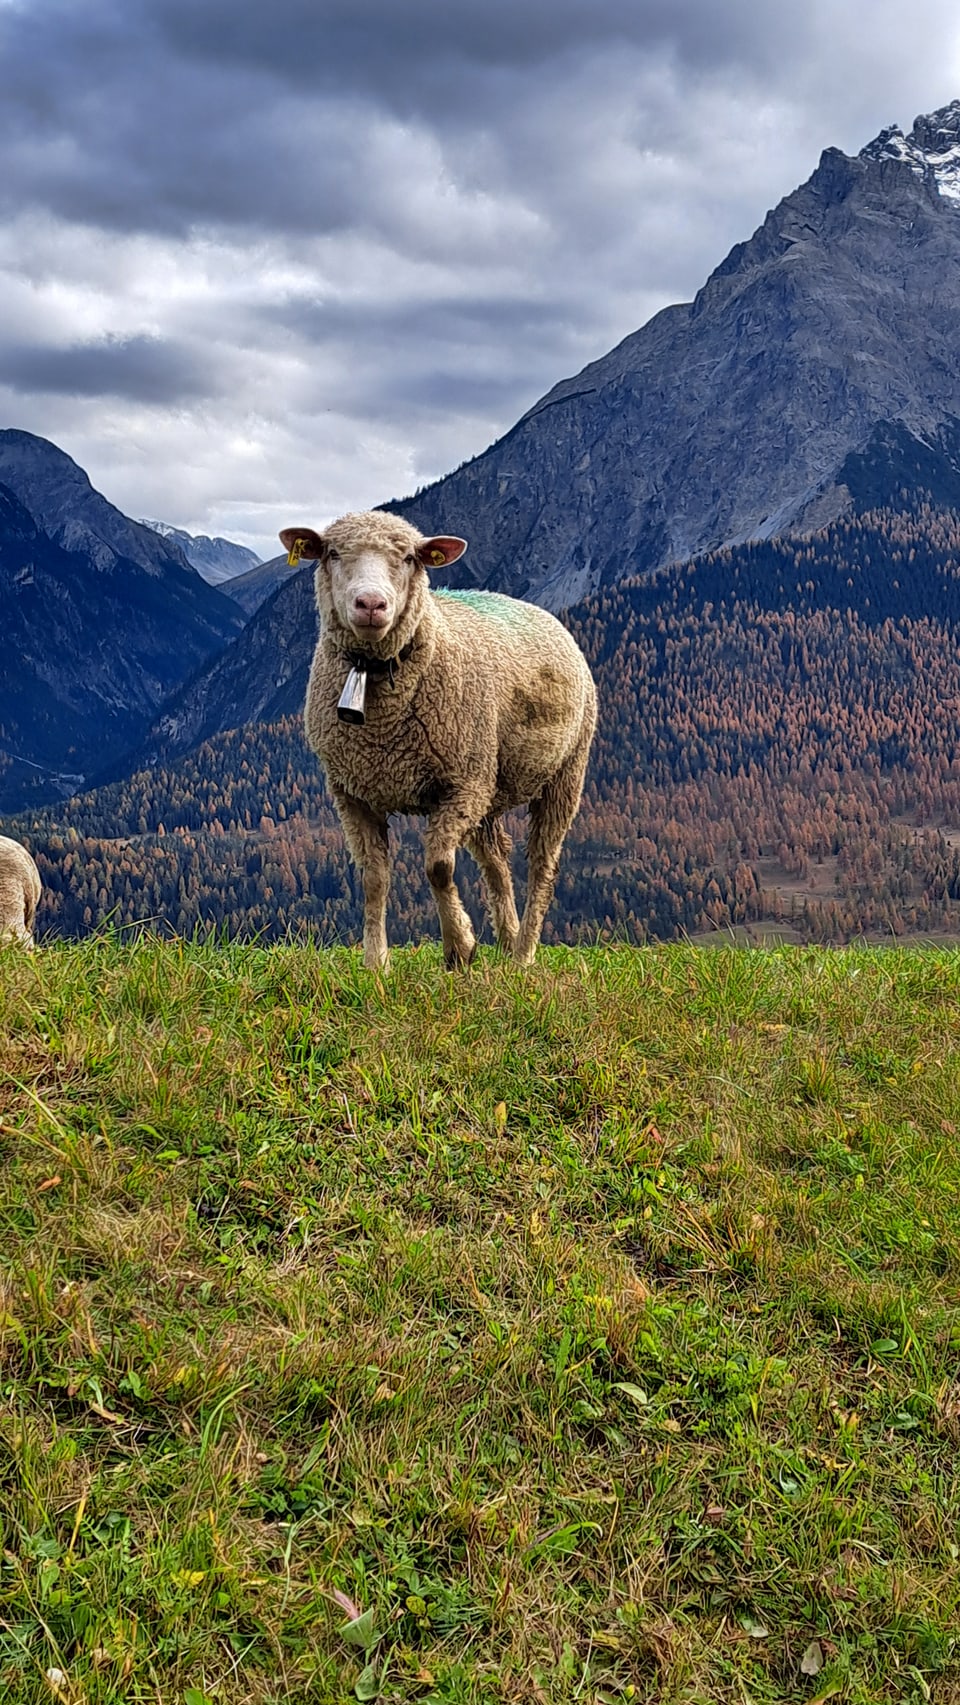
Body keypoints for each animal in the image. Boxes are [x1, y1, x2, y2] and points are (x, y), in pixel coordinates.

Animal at [277, 508, 596, 975]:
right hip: (490, 786)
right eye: (332, 553)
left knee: (542, 864)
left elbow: (439, 867)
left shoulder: (460, 785)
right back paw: (508, 941)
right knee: (496, 859)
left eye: (410, 558)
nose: (370, 604)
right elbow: (373, 878)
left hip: (563, 772)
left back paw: (523, 954)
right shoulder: (353, 794)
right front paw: (376, 963)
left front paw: (460, 948)